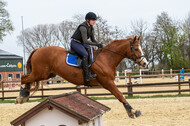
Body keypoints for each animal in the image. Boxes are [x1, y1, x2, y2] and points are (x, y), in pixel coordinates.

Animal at [15, 36, 148, 118]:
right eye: (137, 49)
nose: (145, 63)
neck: (106, 58)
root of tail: (37, 50)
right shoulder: (108, 82)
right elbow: (120, 95)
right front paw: (132, 111)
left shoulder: (109, 82)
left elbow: (120, 95)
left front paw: (131, 111)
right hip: (40, 73)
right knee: (23, 78)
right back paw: (21, 96)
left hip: (46, 74)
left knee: (27, 80)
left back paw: (24, 96)